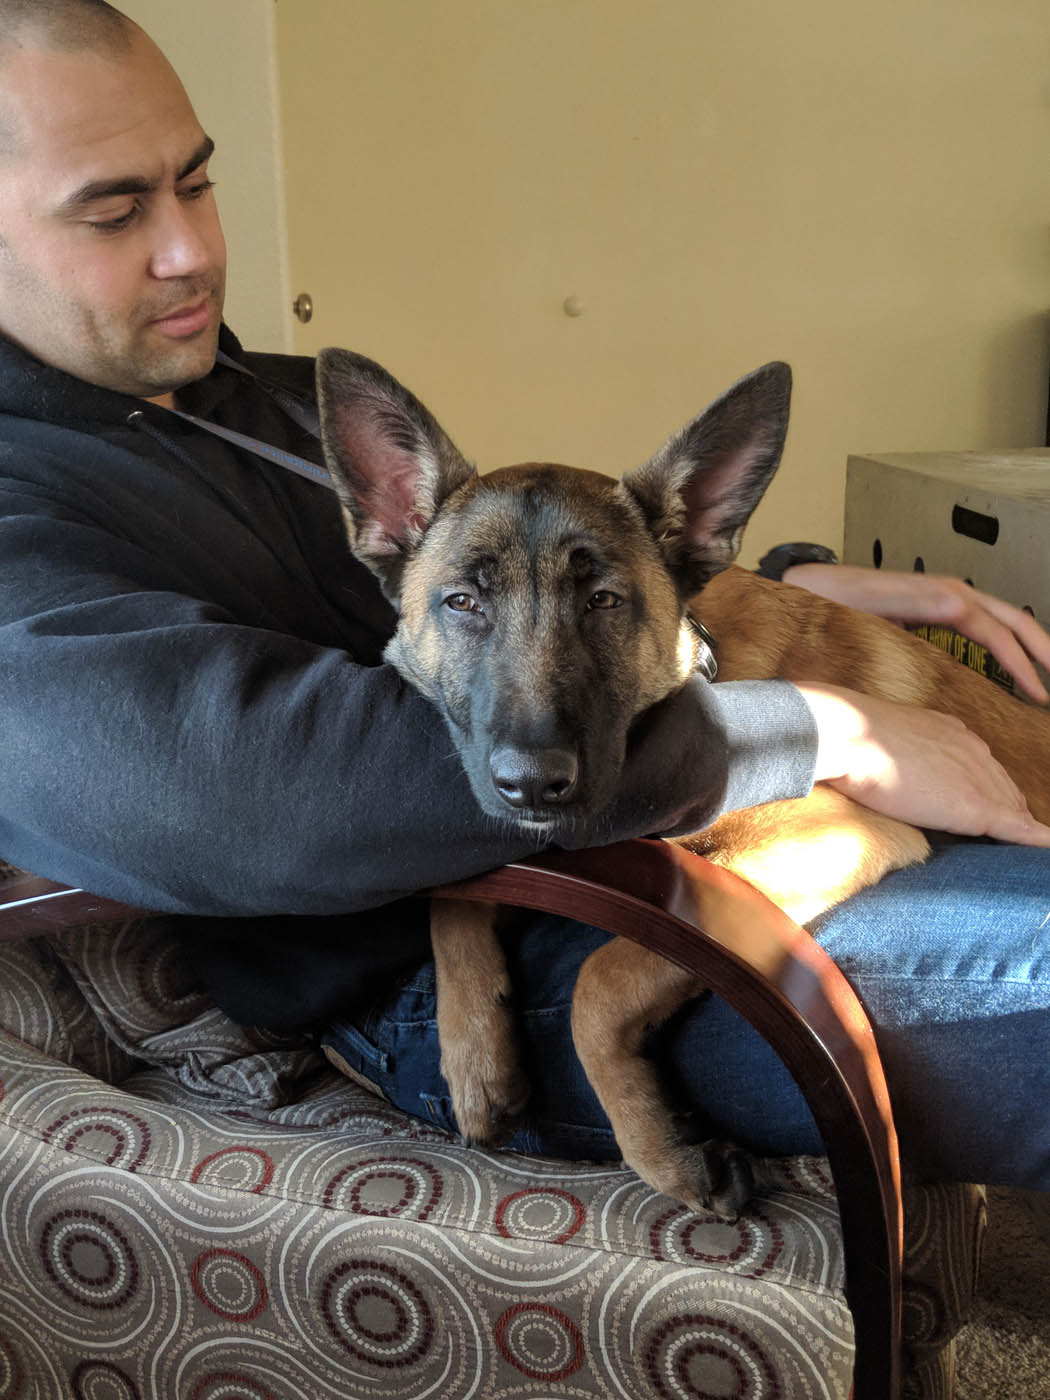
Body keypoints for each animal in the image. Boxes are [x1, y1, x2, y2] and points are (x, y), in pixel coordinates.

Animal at [315, 347, 1050, 1215]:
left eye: (604, 602)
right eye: (462, 602)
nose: (533, 786)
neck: (700, 666)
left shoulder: (834, 832)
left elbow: (600, 980)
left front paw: (659, 1149)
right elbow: (450, 897)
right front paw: (473, 1056)